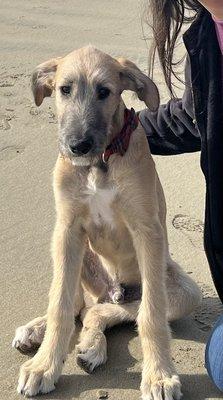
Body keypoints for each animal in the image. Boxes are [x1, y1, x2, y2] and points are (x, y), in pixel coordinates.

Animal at [12, 46, 202, 400]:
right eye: (64, 89)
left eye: (105, 92)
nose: (78, 146)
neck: (100, 162)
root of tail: (110, 290)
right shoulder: (68, 229)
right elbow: (59, 304)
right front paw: (44, 366)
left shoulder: (147, 231)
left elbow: (151, 315)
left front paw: (159, 376)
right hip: (71, 251)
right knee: (76, 303)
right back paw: (36, 330)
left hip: (182, 291)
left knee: (102, 311)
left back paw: (92, 345)